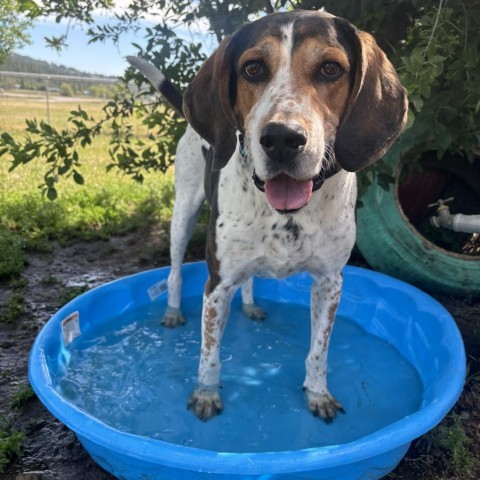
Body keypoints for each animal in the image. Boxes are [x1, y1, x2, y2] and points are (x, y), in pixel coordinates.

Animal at [129, 9, 406, 424]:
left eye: (331, 68)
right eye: (253, 68)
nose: (282, 139)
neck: (288, 214)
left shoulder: (330, 283)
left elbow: (319, 352)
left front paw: (318, 393)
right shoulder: (217, 285)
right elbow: (209, 353)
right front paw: (206, 393)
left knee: (248, 280)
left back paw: (249, 306)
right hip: (184, 212)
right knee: (175, 271)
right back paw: (174, 311)